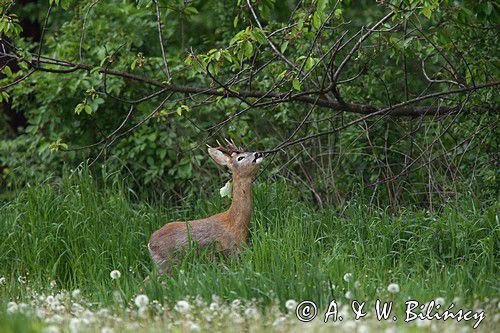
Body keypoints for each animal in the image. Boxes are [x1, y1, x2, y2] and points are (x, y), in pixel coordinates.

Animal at [148, 139, 266, 272]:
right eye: (240, 158)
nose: (258, 153)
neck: (235, 223)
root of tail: (150, 244)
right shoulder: (229, 250)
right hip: (167, 263)